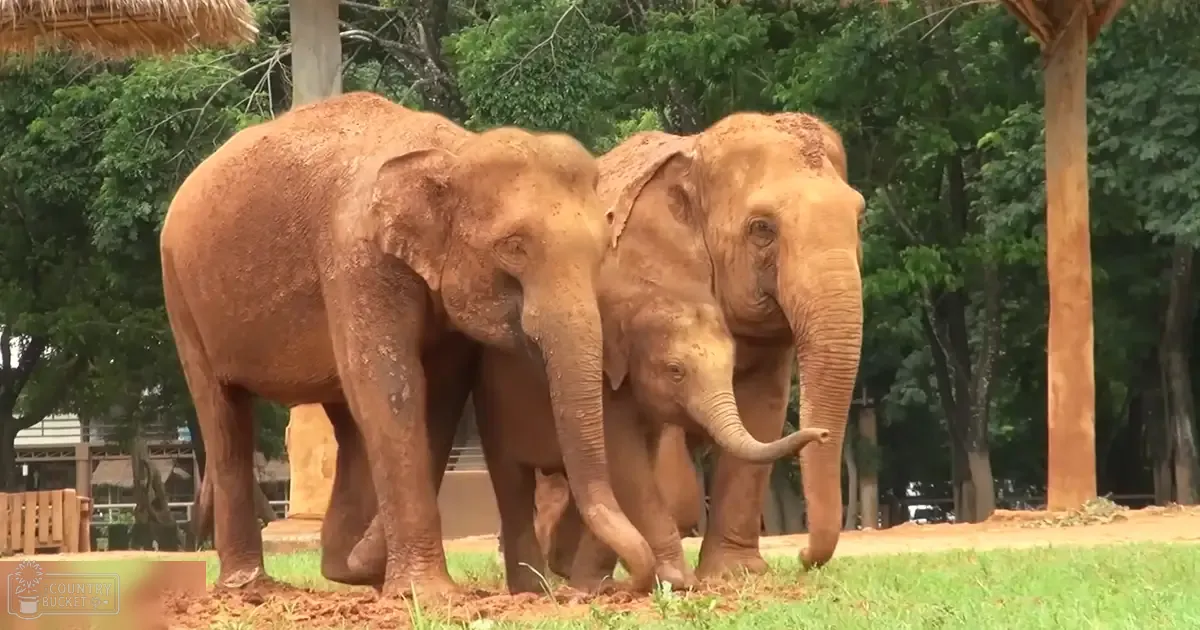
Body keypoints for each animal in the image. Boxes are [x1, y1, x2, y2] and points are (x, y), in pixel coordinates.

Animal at [159, 91, 661, 597]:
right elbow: (392, 387)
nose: (616, 588)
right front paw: (426, 593)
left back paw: (340, 561)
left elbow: (437, 398)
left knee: (345, 421)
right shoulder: (356, 258)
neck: (454, 152)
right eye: (513, 247)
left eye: (601, 252)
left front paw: (382, 573)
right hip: (180, 291)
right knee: (224, 416)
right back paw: (250, 587)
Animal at [542, 113, 864, 580]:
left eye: (860, 216)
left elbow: (763, 406)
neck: (694, 152)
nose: (804, 556)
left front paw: (735, 574)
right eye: (762, 228)